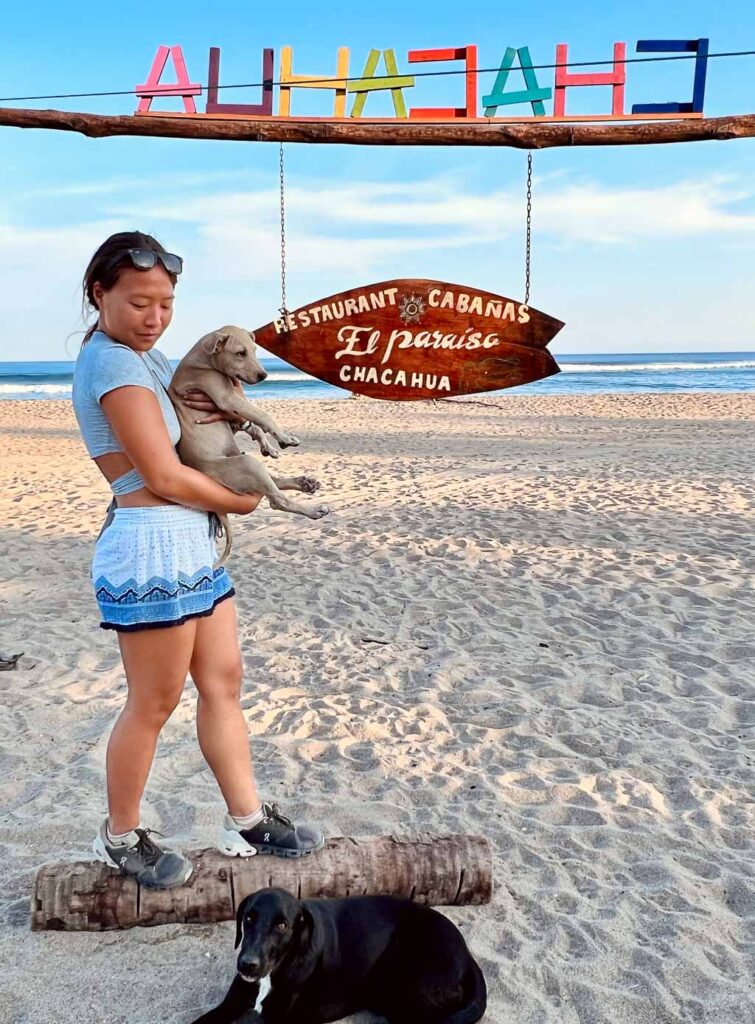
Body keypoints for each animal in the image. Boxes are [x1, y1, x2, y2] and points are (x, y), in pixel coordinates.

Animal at [169, 325, 327, 565]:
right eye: (240, 353)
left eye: (253, 350)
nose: (264, 376)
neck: (204, 359)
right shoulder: (228, 398)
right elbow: (264, 416)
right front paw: (284, 438)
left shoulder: (234, 407)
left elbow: (254, 425)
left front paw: (270, 446)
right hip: (246, 464)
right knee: (276, 500)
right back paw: (314, 510)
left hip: (247, 463)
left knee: (274, 483)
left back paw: (305, 483)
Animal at [188, 888, 483, 1024]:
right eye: (248, 918)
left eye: (282, 925)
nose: (248, 965)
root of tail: (468, 956)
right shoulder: (231, 1003)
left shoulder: (276, 1019)